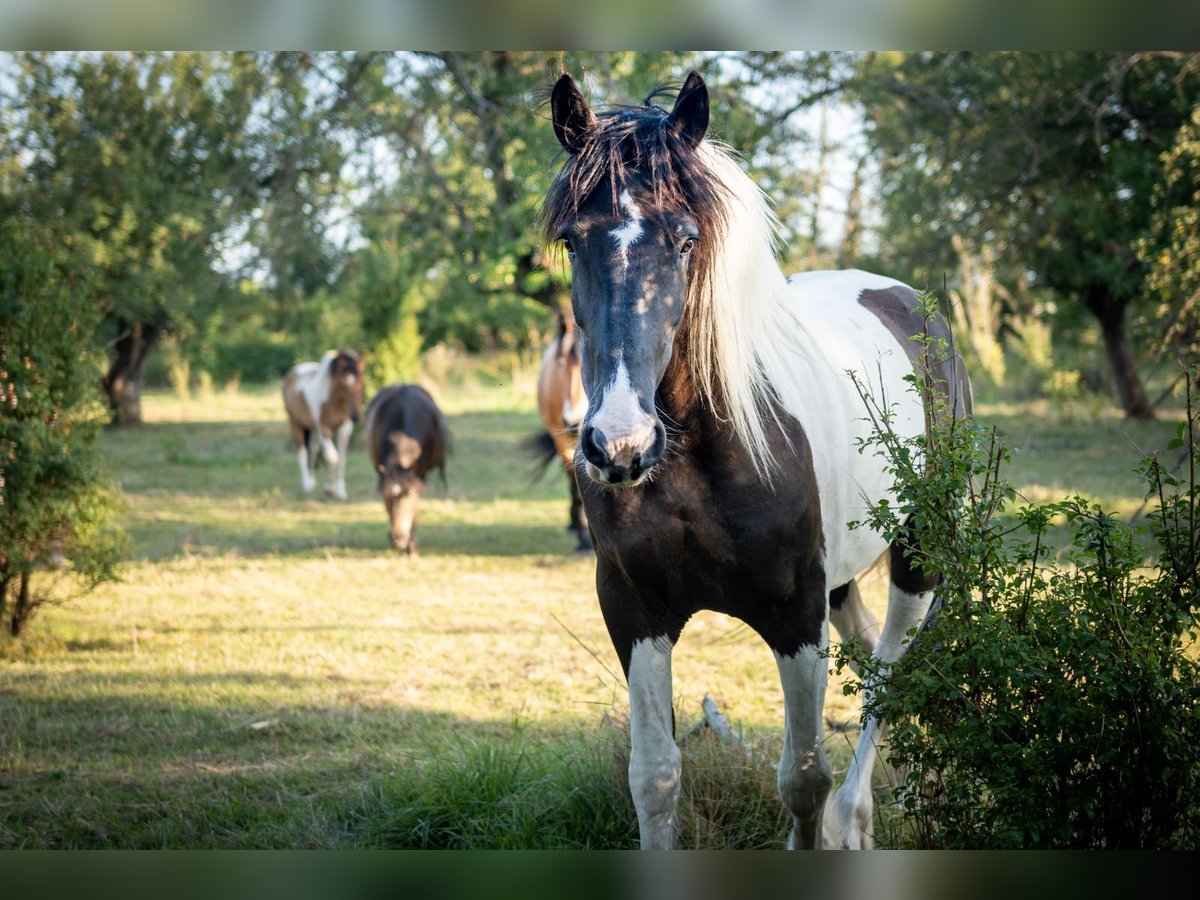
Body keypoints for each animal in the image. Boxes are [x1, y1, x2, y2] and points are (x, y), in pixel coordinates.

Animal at [282, 349, 364, 500]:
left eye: (361, 383)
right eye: (343, 385)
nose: (356, 416)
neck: (333, 399)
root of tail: (292, 373)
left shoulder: (345, 428)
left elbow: (341, 459)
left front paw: (340, 491)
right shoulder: (324, 428)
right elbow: (332, 457)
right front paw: (330, 489)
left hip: (313, 429)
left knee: (313, 450)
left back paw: (312, 481)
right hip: (296, 424)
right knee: (302, 451)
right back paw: (307, 485)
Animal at [364, 383, 450, 556]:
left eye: (409, 493)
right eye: (385, 495)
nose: (398, 537)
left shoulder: (419, 476)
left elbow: (415, 509)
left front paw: (412, 547)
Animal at [541, 71, 971, 850]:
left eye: (685, 241)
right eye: (571, 241)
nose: (619, 443)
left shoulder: (795, 614)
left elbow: (802, 781)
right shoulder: (633, 609)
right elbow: (654, 778)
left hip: (920, 552)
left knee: (892, 674)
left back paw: (855, 818)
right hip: (844, 579)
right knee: (873, 658)